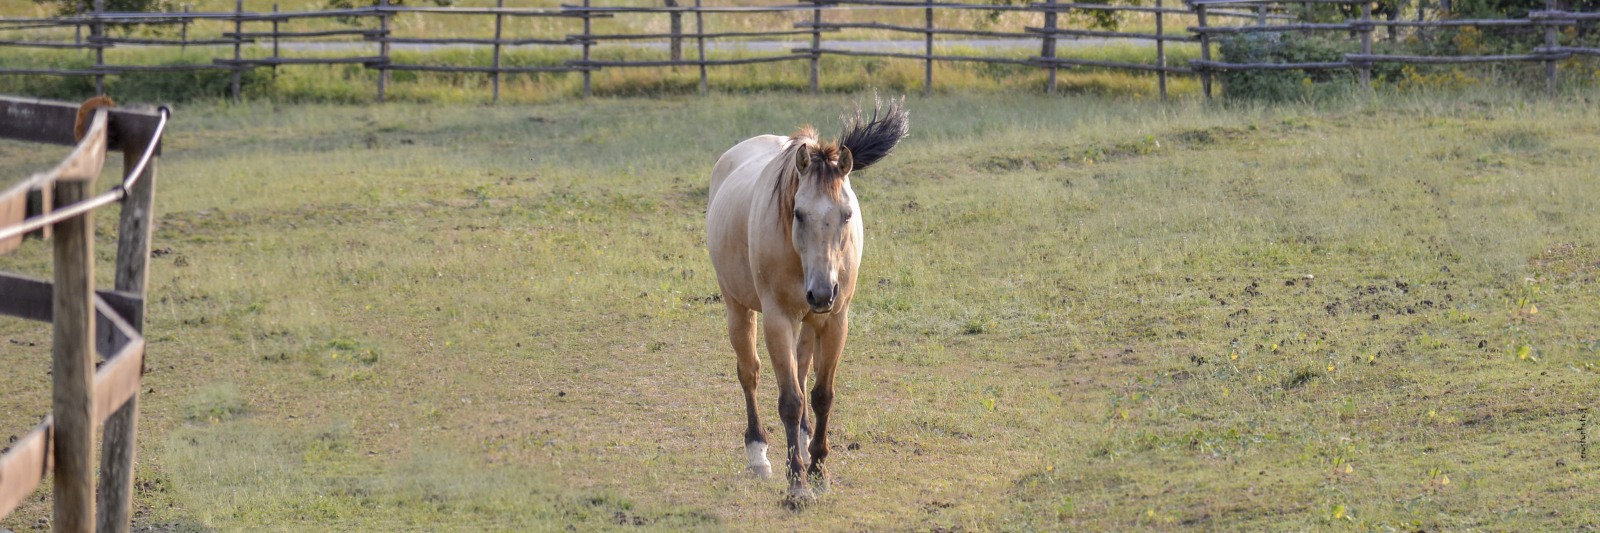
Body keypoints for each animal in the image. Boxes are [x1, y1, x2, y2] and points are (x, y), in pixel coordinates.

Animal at [705, 96, 908, 502]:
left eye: (847, 214)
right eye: (798, 213)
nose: (821, 292)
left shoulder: (834, 320)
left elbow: (819, 395)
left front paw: (817, 469)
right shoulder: (778, 319)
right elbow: (790, 399)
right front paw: (797, 483)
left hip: (810, 321)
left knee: (800, 372)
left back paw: (800, 440)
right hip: (738, 308)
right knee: (749, 373)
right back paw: (759, 454)